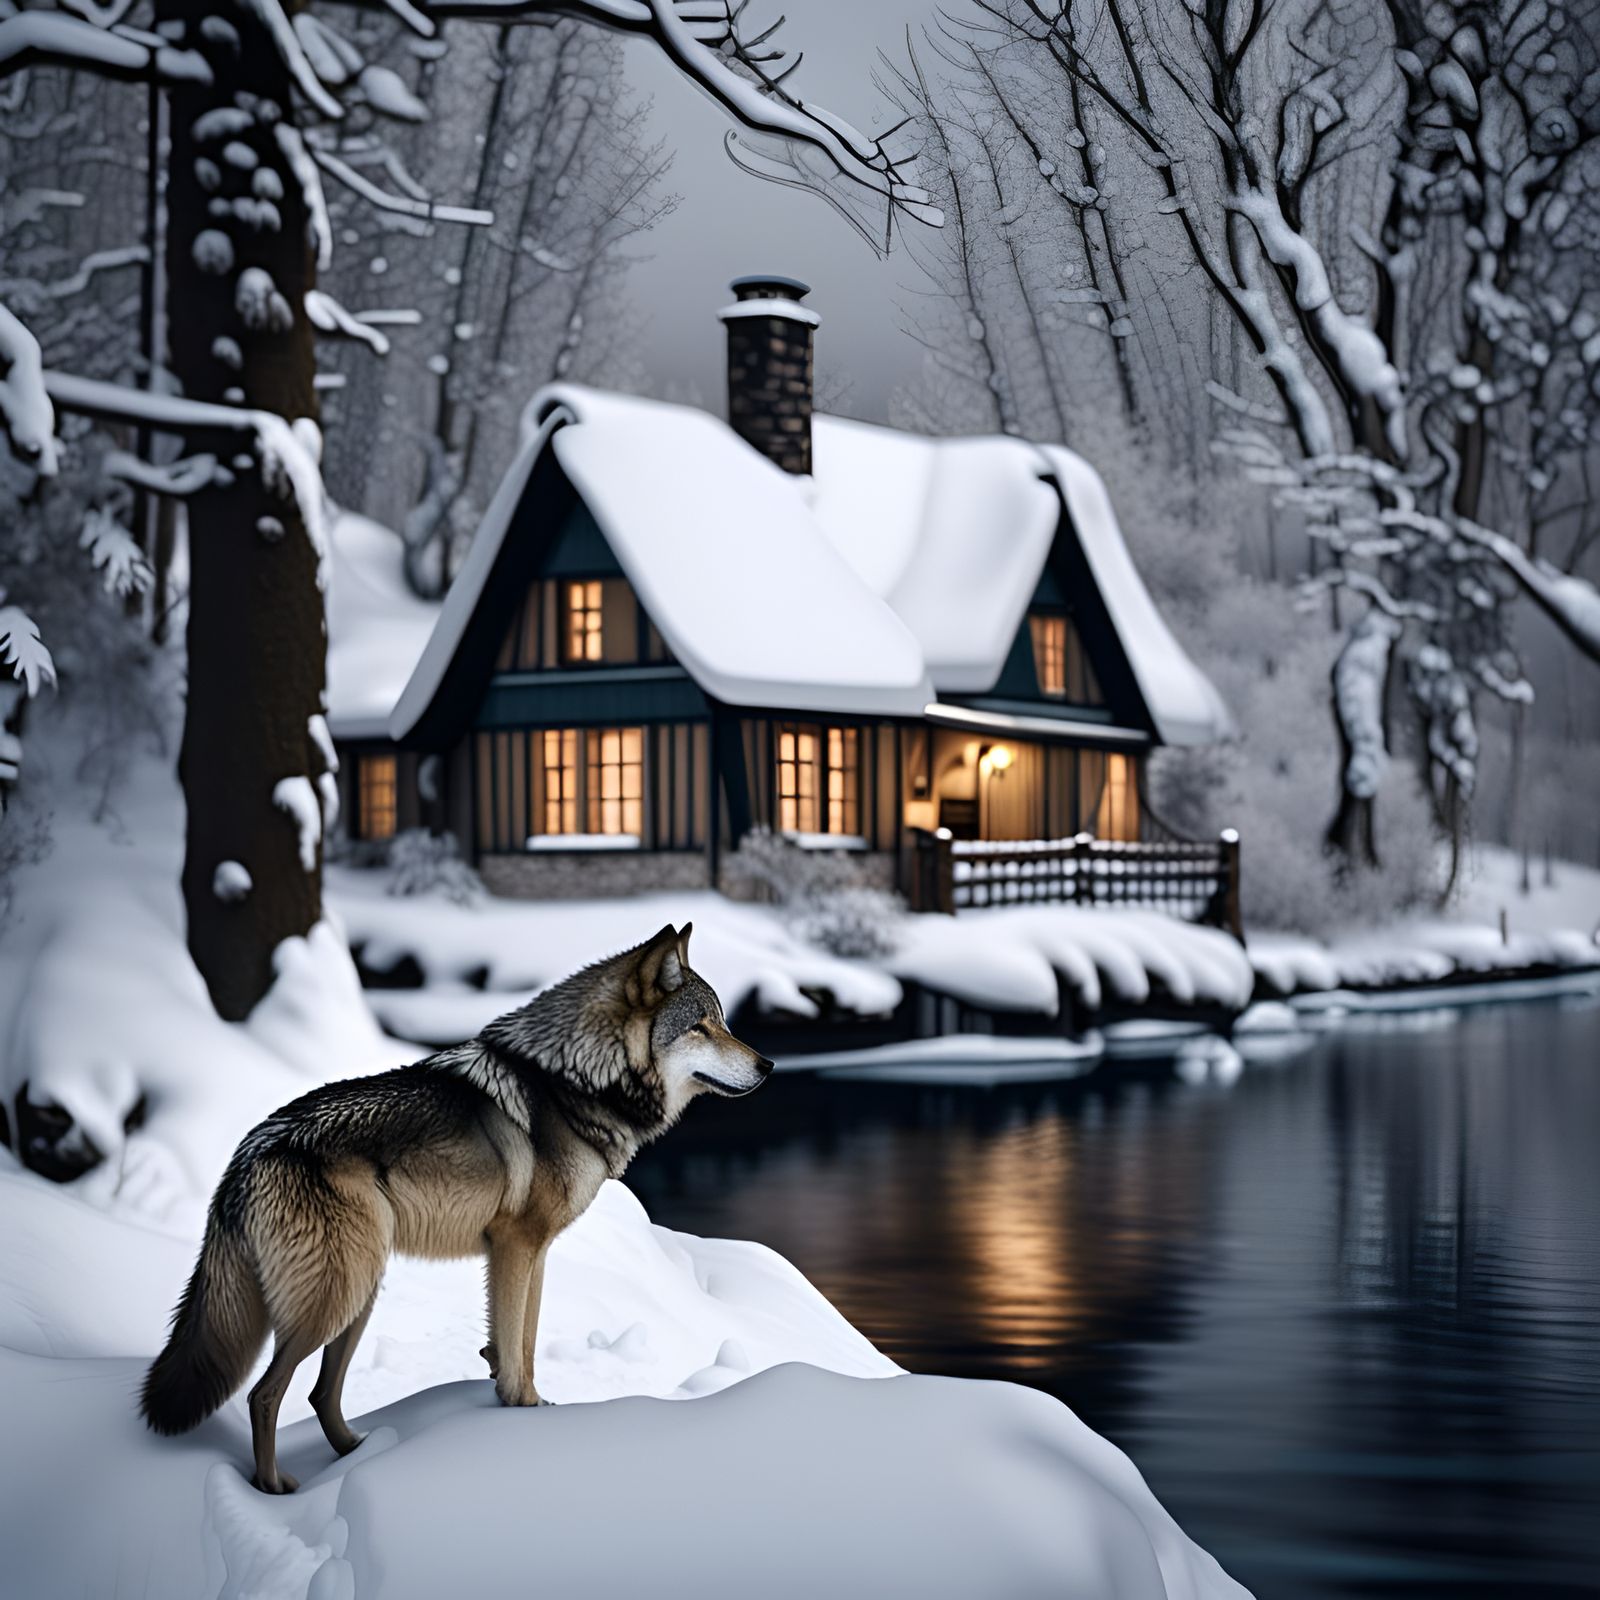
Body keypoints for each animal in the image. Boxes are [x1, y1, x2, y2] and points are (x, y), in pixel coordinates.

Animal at [140, 923, 771, 1493]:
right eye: (702, 1026)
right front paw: (520, 1413)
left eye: (724, 1020)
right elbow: (515, 1354)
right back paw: (277, 1488)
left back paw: (361, 1454)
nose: (767, 1066)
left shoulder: (532, 1252)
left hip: (360, 1292)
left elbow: (522, 1343)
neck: (574, 1081)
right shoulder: (516, 1245)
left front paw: (530, 1405)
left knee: (320, 1392)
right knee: (263, 1394)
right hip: (336, 1295)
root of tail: (248, 1152)